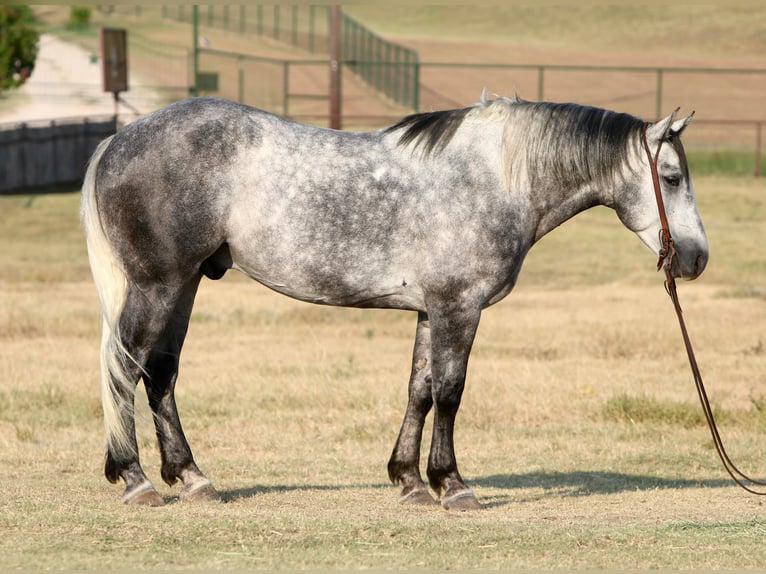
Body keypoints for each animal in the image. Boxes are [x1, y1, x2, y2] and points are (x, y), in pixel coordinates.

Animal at [82, 95, 708, 512]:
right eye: (672, 177)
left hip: (183, 286)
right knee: (124, 368)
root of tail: (117, 140)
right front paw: (452, 485)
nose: (697, 258)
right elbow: (450, 393)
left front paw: (408, 480)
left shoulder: (431, 309)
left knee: (160, 374)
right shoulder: (459, 306)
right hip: (159, 286)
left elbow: (419, 390)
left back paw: (192, 477)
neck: (495, 177)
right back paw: (136, 479)